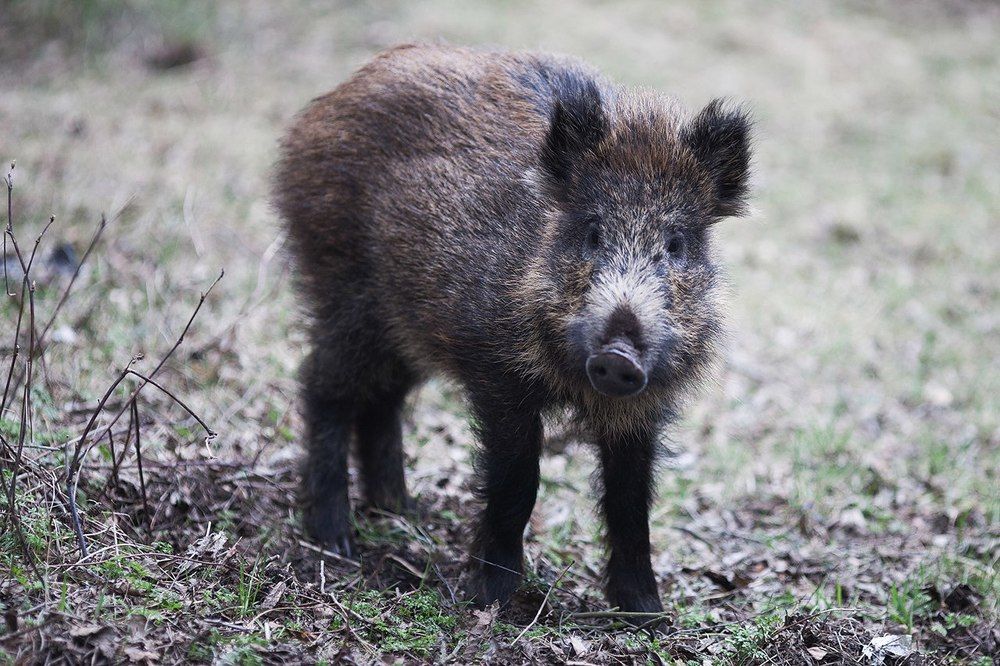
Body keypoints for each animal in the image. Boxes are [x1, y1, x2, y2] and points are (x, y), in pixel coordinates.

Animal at [274, 43, 752, 615]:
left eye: (677, 244)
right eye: (592, 231)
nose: (618, 355)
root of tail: (325, 105)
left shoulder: (641, 408)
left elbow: (631, 499)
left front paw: (646, 613)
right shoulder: (497, 376)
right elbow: (517, 480)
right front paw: (493, 597)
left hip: (408, 329)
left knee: (381, 401)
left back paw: (401, 512)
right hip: (346, 292)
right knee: (323, 387)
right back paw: (336, 539)